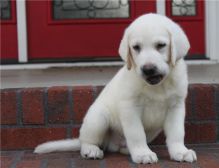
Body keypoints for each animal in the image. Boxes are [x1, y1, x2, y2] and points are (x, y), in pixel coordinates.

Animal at [34, 13, 197, 164]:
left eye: (161, 45)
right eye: (136, 47)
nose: (148, 69)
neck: (158, 86)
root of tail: (111, 143)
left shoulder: (176, 106)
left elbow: (177, 133)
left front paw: (180, 151)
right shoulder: (130, 107)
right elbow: (136, 133)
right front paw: (143, 153)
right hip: (97, 119)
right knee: (86, 141)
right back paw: (91, 150)